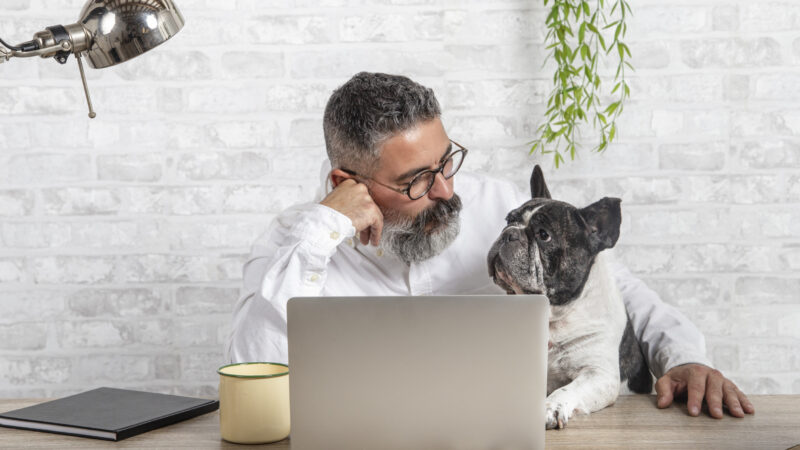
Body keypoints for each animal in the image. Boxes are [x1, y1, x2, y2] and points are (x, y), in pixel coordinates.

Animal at [484, 164, 652, 428]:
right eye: (508, 220)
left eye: (544, 235)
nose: (509, 234)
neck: (553, 314)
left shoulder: (598, 373)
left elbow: (568, 389)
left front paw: (550, 407)